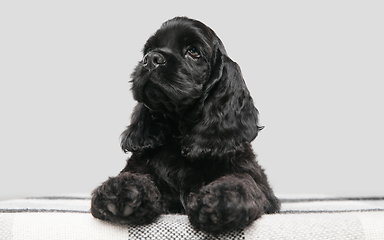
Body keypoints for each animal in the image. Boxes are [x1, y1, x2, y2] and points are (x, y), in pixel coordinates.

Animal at [91, 17, 280, 234]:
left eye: (193, 51)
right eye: (149, 49)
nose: (151, 59)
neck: (178, 132)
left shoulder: (258, 183)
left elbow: (242, 179)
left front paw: (222, 198)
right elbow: (138, 175)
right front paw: (122, 189)